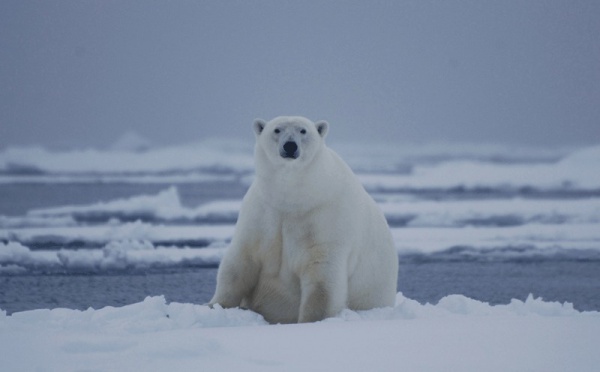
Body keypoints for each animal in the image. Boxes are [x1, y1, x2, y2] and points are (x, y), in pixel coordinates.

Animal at [210, 116, 398, 322]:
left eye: (303, 130)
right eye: (277, 129)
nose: (290, 145)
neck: (293, 199)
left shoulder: (325, 218)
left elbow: (322, 278)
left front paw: (308, 321)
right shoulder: (262, 212)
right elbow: (240, 262)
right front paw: (214, 306)